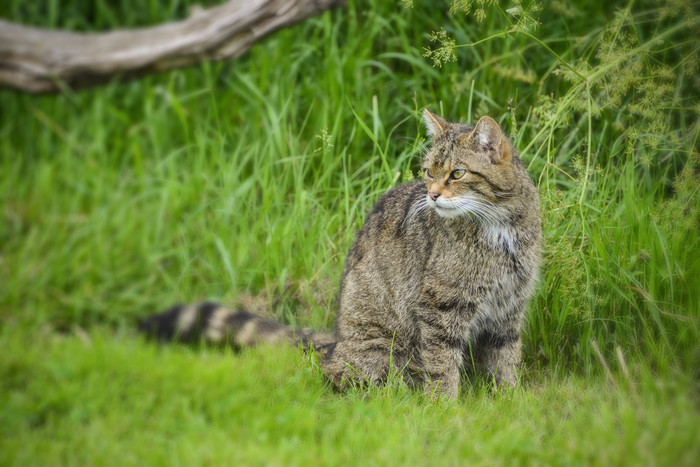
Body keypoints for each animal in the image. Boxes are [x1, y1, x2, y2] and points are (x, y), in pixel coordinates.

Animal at [139, 108, 544, 400]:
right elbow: (442, 364)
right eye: (428, 172)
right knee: (340, 377)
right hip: (381, 352)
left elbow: (506, 358)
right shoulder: (439, 307)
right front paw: (444, 407)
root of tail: (336, 343)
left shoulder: (511, 306)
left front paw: (509, 400)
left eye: (457, 173)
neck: (499, 230)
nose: (431, 195)